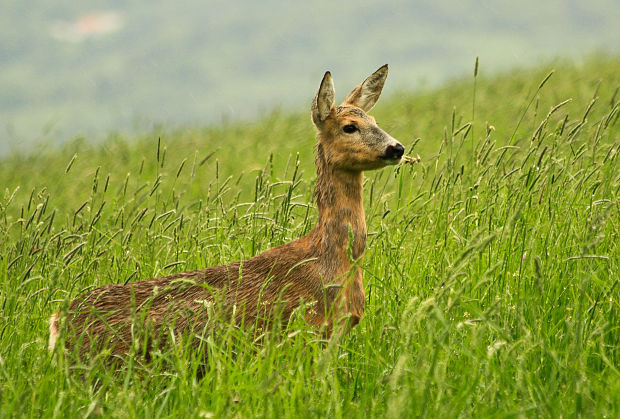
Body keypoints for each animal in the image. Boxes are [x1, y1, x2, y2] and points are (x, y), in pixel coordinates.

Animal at [49, 64, 406, 362]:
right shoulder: (304, 333)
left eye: (375, 122)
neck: (331, 258)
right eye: (349, 127)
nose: (397, 148)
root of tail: (57, 323)